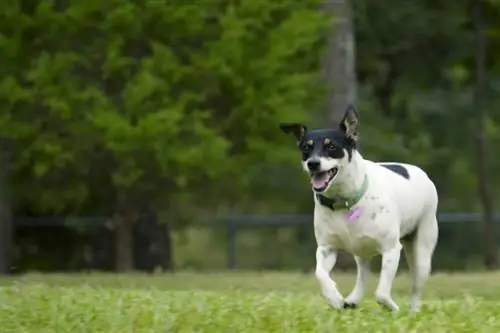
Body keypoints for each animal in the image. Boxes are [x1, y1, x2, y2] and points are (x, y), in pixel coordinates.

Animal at [280, 106, 440, 312]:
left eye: (331, 146)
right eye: (306, 148)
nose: (313, 163)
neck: (344, 201)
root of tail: (421, 173)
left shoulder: (391, 249)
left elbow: (381, 293)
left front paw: (392, 308)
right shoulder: (327, 248)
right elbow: (320, 274)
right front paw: (334, 297)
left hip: (423, 246)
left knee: (417, 284)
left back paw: (413, 310)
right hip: (361, 250)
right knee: (362, 274)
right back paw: (353, 299)